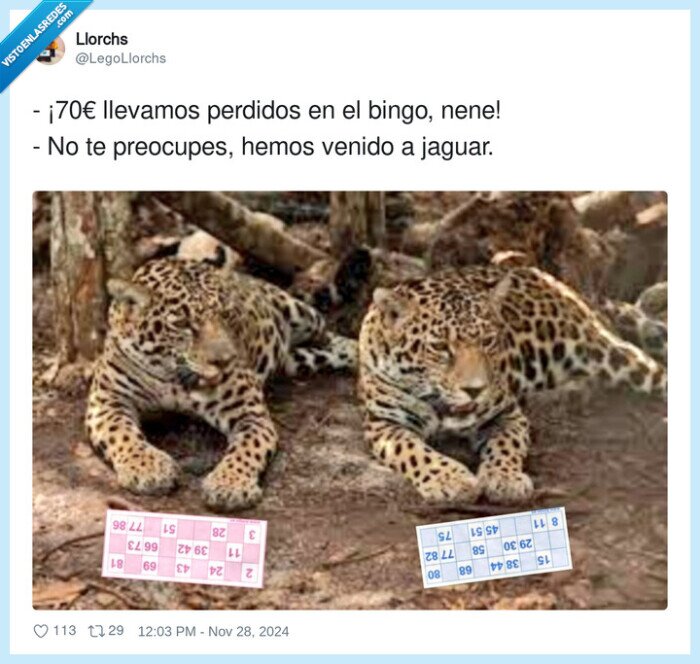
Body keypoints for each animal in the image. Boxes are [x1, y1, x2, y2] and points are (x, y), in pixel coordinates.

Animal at [86, 255, 361, 512]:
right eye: (182, 324)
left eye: (227, 315)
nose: (225, 361)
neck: (173, 377)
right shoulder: (108, 401)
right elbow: (122, 433)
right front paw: (148, 467)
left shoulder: (250, 414)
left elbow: (247, 448)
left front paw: (229, 484)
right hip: (296, 359)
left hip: (301, 314)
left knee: (329, 335)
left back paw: (361, 354)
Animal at [358, 265, 667, 505]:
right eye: (440, 347)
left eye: (488, 341)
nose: (475, 390)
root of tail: (552, 279)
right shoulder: (385, 423)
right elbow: (413, 452)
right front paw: (450, 479)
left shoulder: (507, 414)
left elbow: (505, 445)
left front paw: (504, 478)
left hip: (612, 356)